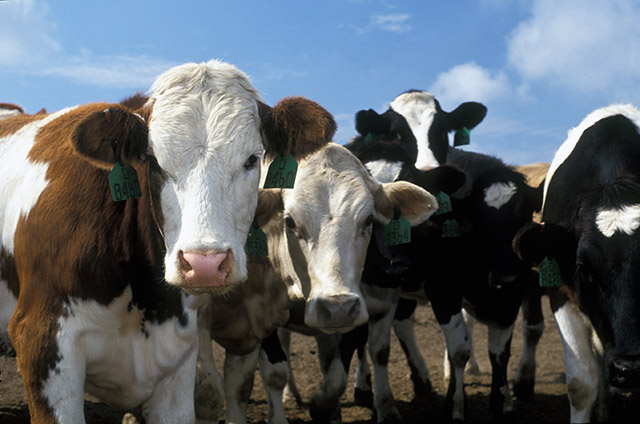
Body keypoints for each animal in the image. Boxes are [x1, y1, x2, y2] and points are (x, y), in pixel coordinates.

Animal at [195, 142, 439, 424]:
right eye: (289, 221)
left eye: (368, 220)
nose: (337, 307)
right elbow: (269, 374)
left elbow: (340, 371)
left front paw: (325, 407)